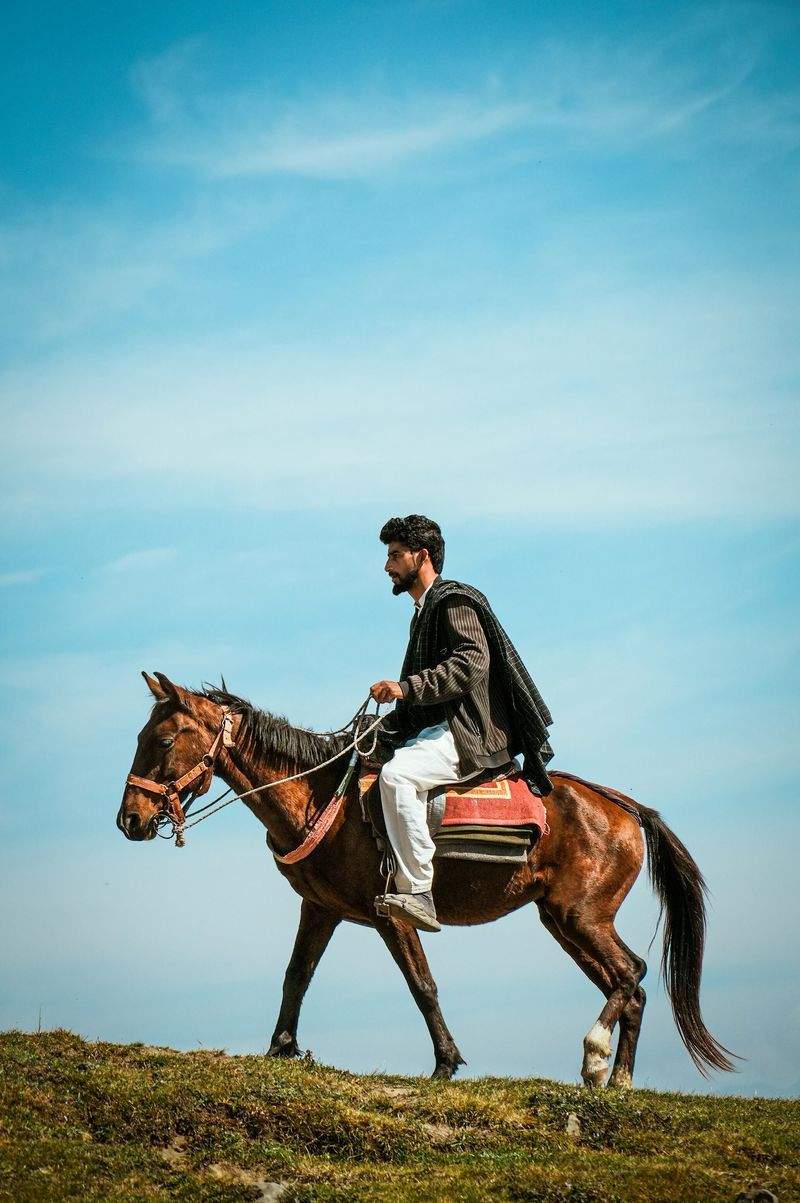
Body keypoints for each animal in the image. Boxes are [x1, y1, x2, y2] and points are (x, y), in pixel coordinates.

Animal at [116, 670, 735, 1087]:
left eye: (163, 741)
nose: (130, 820)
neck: (325, 797)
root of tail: (624, 808)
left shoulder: (393, 911)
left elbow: (422, 985)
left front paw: (444, 1064)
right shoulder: (320, 909)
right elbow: (297, 976)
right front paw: (281, 1049)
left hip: (582, 916)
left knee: (630, 974)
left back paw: (597, 1054)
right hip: (562, 922)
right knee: (626, 985)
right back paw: (616, 1081)